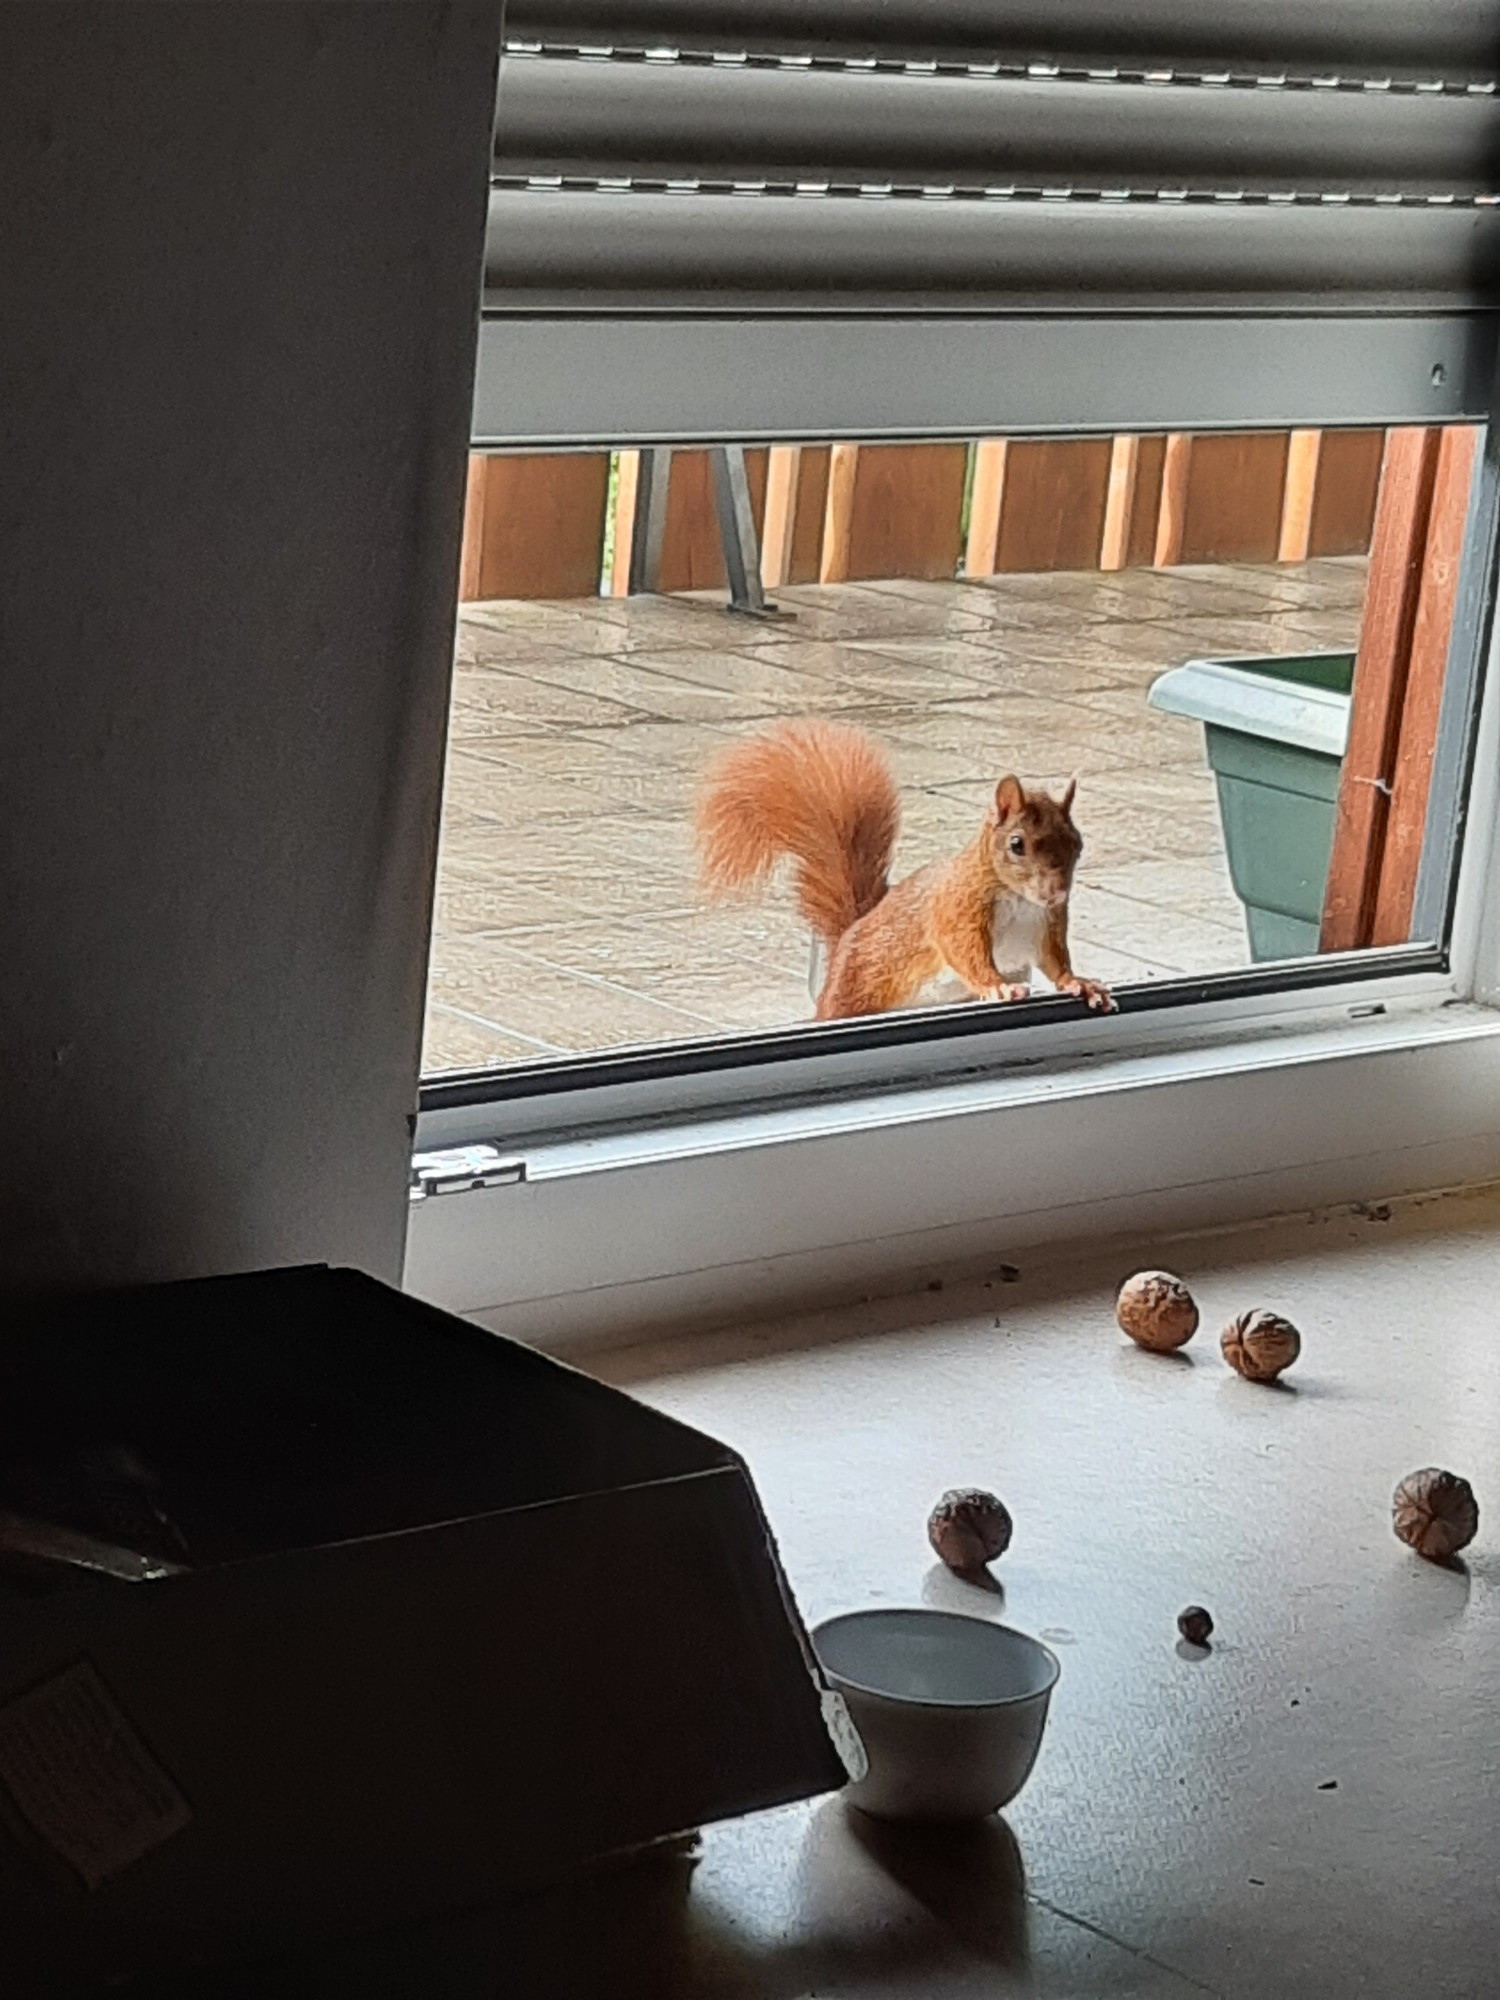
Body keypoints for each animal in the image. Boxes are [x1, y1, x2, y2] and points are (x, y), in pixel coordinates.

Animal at [700, 724, 1112, 1024]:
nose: (1057, 892)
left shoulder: (1047, 923)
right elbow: (964, 952)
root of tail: (849, 935)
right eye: (1017, 844)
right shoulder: (956, 909)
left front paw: (1079, 983)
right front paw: (998, 987)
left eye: (1078, 843)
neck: (1018, 899)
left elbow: (1055, 960)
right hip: (852, 991)